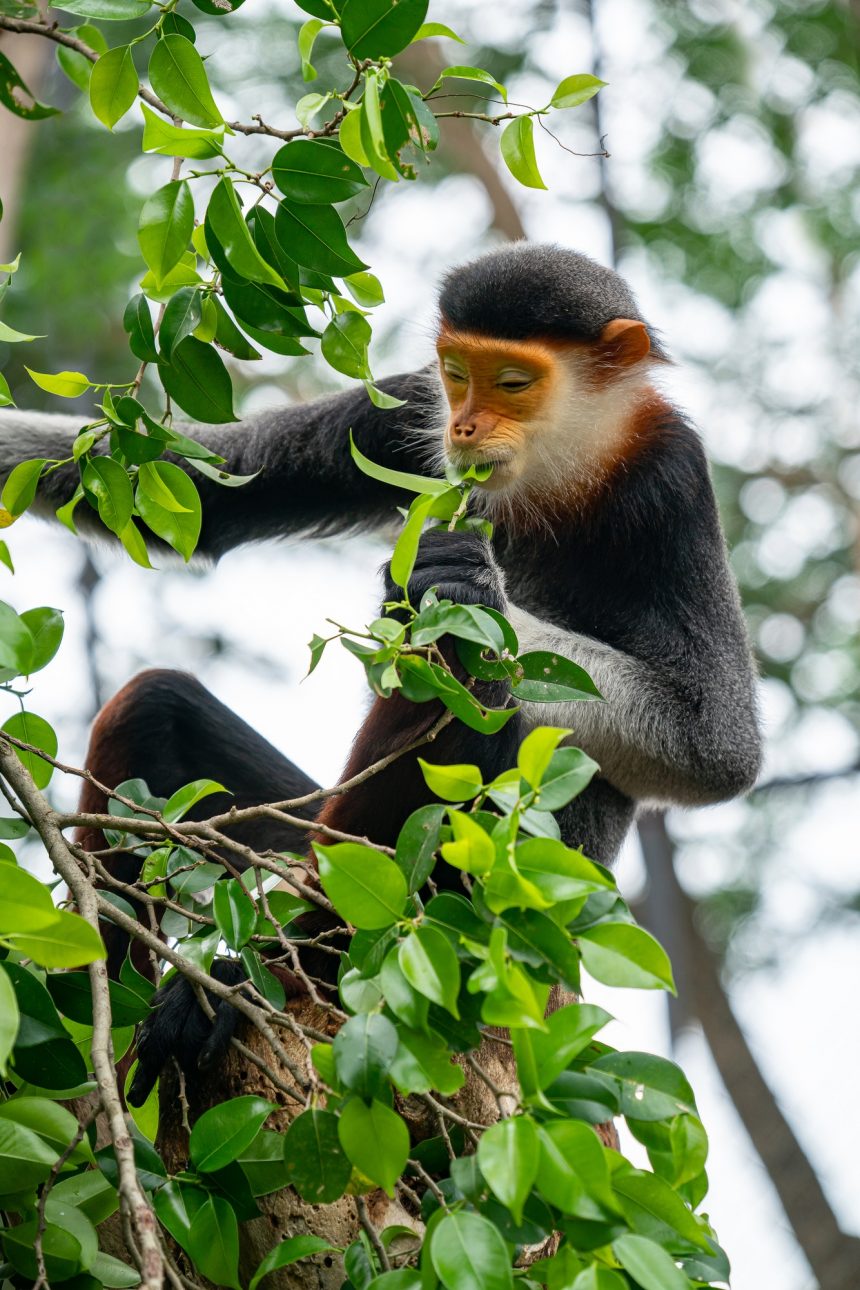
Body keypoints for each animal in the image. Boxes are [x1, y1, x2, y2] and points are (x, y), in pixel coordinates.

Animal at [0, 242, 763, 1099]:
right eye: (456, 374)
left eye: (513, 383)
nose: (463, 426)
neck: (563, 462)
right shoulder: (402, 406)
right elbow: (201, 493)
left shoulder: (671, 473)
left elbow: (717, 752)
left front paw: (461, 585)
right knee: (151, 703)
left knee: (473, 683)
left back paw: (255, 975)